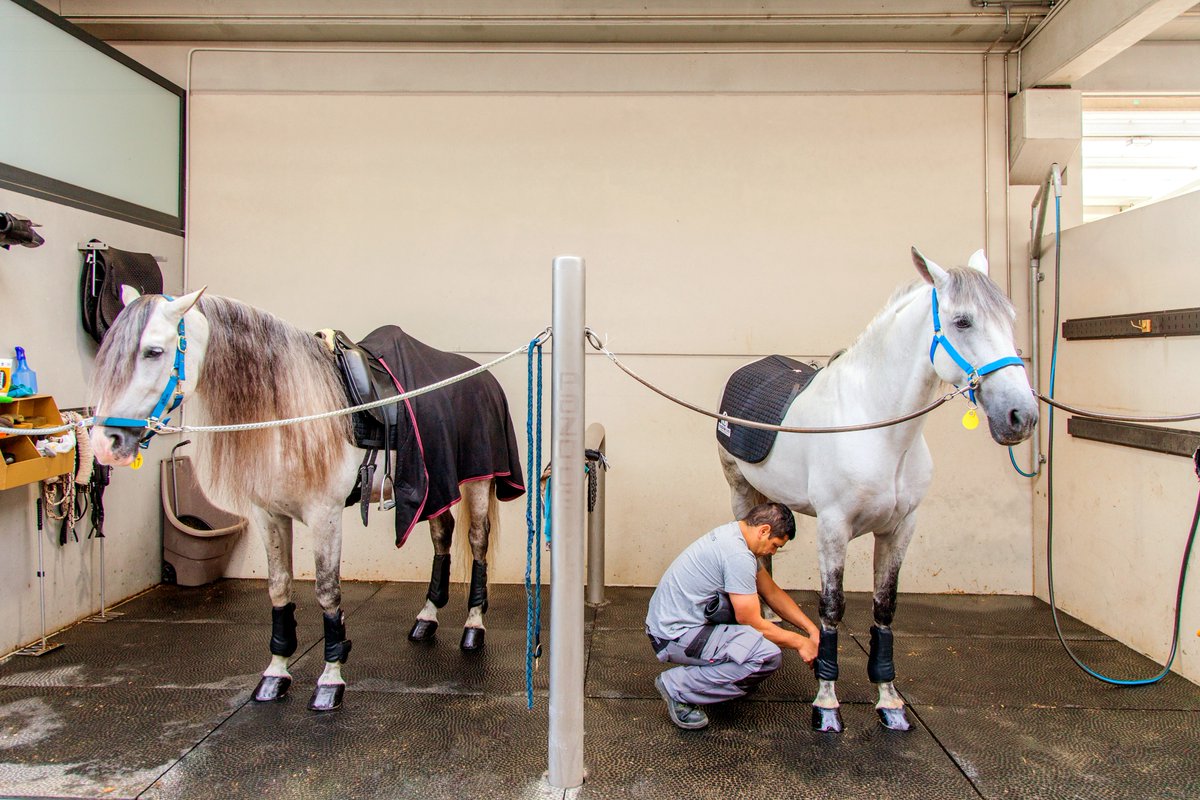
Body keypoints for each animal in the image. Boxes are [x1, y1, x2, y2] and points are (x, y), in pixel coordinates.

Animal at [89, 287, 525, 712]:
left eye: (153, 351)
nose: (107, 443)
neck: (291, 410)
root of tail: (483, 378)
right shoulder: (268, 514)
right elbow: (279, 589)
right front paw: (275, 674)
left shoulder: (324, 514)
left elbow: (327, 591)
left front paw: (331, 680)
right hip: (436, 484)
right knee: (442, 534)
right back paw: (427, 617)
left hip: (478, 482)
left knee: (477, 542)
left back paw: (473, 627)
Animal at [718, 247, 1038, 733]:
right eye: (962, 321)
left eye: (1011, 318)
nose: (1022, 416)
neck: (878, 429)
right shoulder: (834, 529)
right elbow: (832, 609)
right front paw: (826, 705)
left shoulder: (900, 529)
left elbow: (884, 610)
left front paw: (890, 702)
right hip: (740, 490)